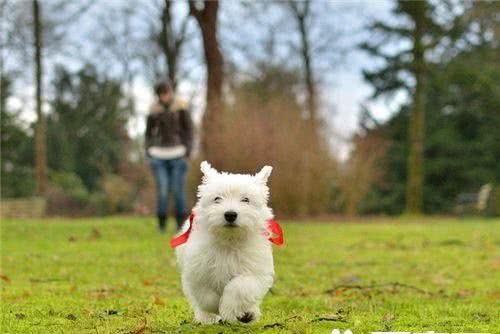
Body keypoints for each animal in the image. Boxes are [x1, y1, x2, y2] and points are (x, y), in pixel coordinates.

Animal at [171, 161, 282, 324]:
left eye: (245, 199)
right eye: (217, 198)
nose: (230, 214)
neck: (229, 240)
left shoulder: (253, 271)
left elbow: (239, 288)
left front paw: (229, 309)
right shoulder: (198, 271)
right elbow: (207, 296)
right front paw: (216, 308)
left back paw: (249, 313)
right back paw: (207, 318)